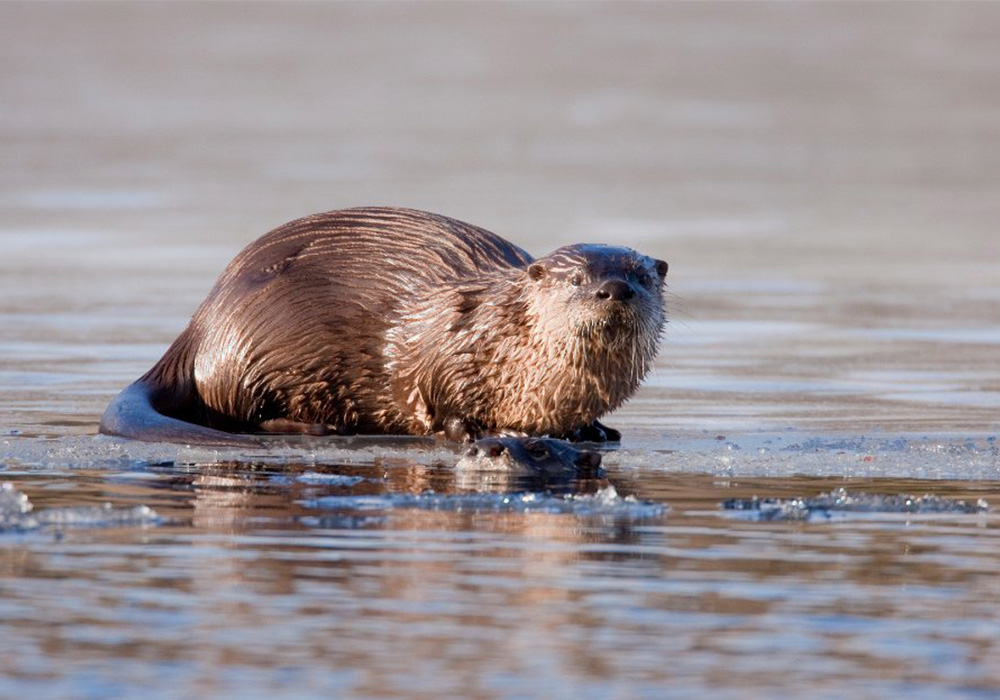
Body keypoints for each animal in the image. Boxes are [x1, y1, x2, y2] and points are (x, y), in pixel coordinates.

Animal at [99, 207, 668, 446]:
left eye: (640, 276)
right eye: (576, 279)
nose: (613, 289)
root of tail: (200, 324)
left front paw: (594, 429)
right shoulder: (447, 353)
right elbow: (440, 400)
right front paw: (470, 431)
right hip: (247, 352)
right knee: (233, 414)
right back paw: (311, 427)